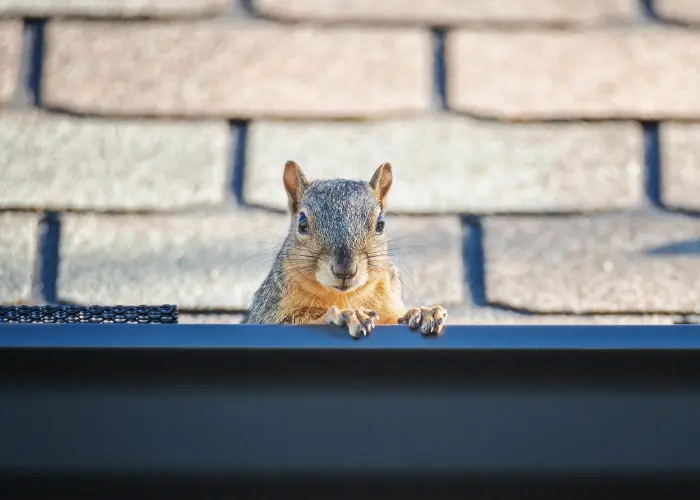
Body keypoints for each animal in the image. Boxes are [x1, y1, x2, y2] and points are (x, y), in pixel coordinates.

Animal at [245, 161, 448, 338]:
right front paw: (345, 315)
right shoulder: (268, 312)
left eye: (380, 224)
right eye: (302, 223)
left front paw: (422, 312)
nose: (344, 270)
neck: (344, 296)